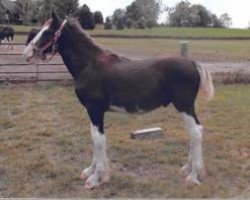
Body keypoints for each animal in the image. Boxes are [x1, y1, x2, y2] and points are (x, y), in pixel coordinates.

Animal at [23, 11, 215, 190]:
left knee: (196, 132)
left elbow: (99, 140)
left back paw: (192, 176)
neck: (89, 65)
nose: (27, 53)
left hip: (184, 106)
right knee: (193, 132)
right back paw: (187, 169)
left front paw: (96, 179)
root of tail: (192, 63)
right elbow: (94, 137)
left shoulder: (95, 110)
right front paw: (90, 171)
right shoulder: (92, 112)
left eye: (47, 31)